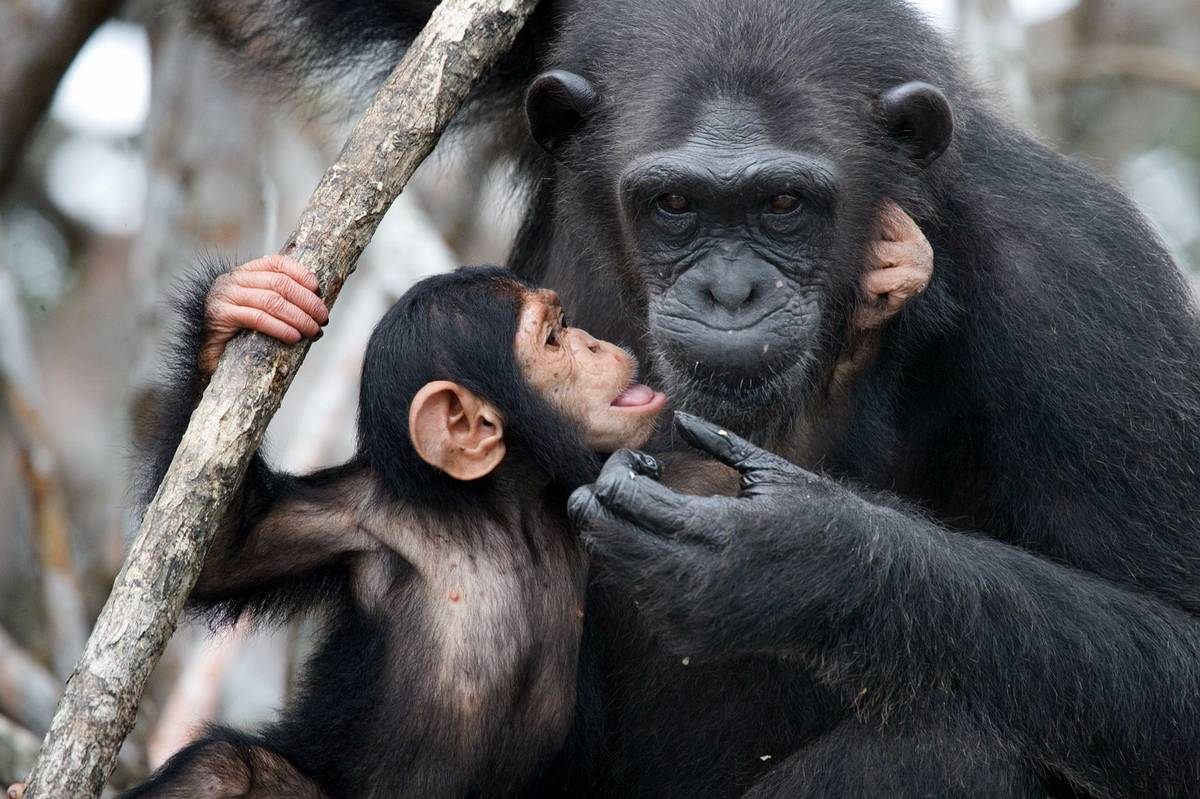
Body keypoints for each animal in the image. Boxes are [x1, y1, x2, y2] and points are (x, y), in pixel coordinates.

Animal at [187, 0, 1200, 791]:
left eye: (784, 203)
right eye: (674, 204)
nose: (729, 290)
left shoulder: (1083, 286)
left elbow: (1174, 646)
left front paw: (792, 557)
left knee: (960, 746)